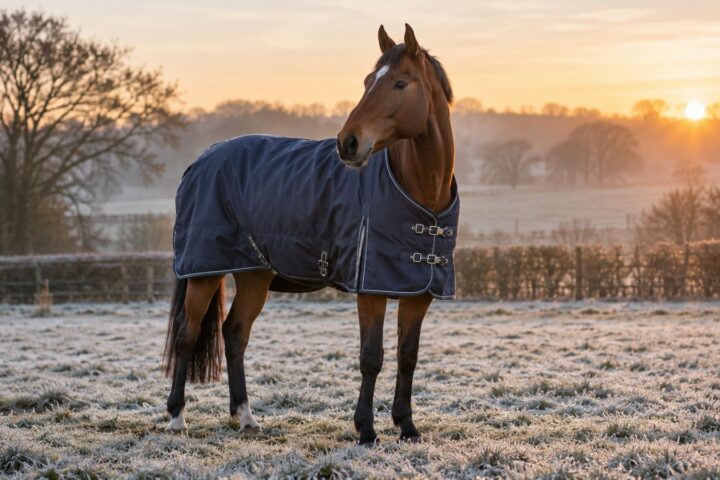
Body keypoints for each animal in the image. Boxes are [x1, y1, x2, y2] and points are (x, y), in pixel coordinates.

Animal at [163, 23, 457, 446]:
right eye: (368, 81)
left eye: (401, 83)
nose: (348, 143)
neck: (419, 192)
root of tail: (200, 161)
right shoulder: (370, 290)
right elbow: (372, 357)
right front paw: (366, 429)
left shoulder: (418, 292)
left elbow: (407, 356)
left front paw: (407, 426)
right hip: (205, 272)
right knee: (187, 335)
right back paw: (177, 418)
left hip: (254, 275)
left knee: (234, 334)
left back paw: (246, 417)